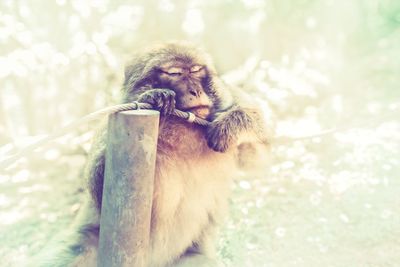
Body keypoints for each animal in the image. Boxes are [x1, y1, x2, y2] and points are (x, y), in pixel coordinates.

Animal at [43, 42, 268, 267]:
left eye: (196, 70)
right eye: (175, 73)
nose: (195, 90)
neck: (185, 130)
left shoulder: (230, 99)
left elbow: (258, 156)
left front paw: (231, 124)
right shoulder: (114, 118)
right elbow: (102, 189)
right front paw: (156, 97)